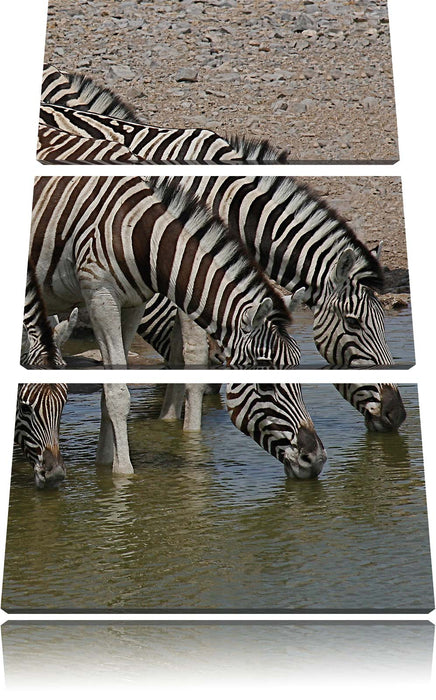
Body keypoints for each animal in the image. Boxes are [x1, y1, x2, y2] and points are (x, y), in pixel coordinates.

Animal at [29, 175, 304, 474]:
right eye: (266, 385)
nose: (315, 457)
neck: (140, 237)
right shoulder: (100, 296)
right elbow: (117, 393)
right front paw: (123, 475)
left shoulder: (132, 303)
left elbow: (109, 390)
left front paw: (104, 465)